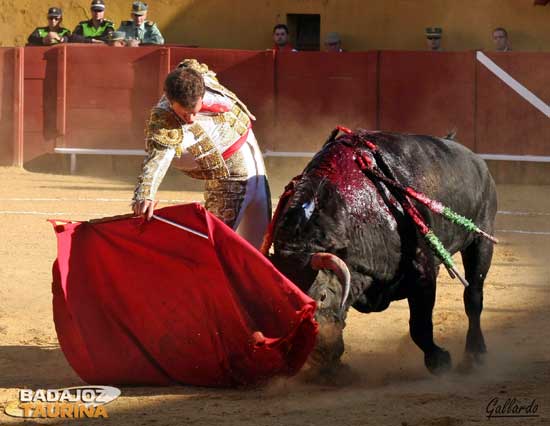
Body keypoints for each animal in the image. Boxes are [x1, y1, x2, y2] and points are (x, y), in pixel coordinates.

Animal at [272, 128, 500, 374]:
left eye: (322, 295)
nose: (315, 356)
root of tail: (476, 161)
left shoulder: (422, 272)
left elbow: (420, 325)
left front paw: (440, 360)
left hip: (481, 239)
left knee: (473, 295)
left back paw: (475, 354)